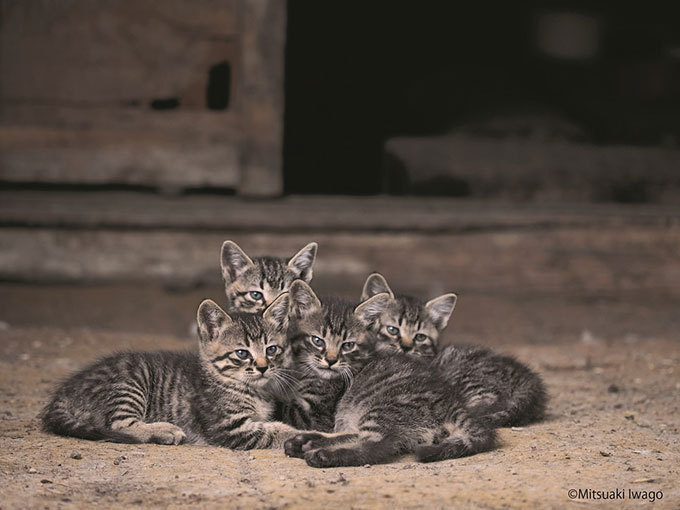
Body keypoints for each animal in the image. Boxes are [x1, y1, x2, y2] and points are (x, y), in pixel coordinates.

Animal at [282, 280, 494, 468]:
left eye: (347, 345)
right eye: (317, 341)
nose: (331, 361)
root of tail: (452, 403)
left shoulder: (316, 411)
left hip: (383, 406)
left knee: (376, 444)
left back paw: (322, 453)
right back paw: (306, 442)